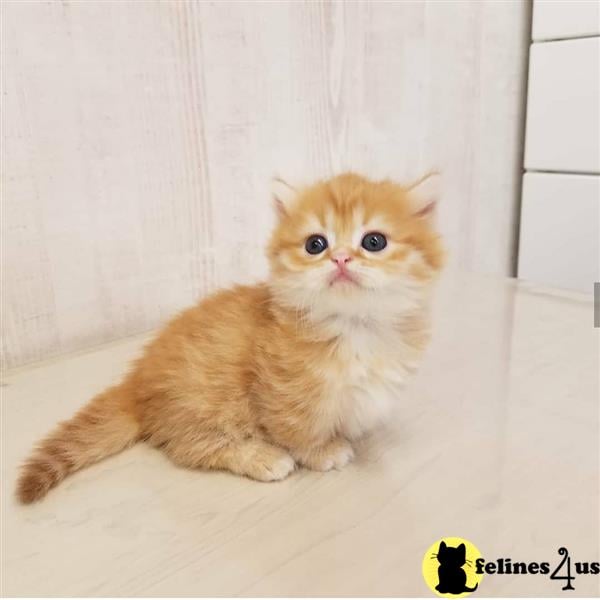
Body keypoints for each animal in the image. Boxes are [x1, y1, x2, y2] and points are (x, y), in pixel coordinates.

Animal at [16, 171, 442, 504]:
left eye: (374, 241)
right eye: (315, 244)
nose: (340, 258)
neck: (354, 327)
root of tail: (136, 381)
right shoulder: (283, 395)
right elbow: (298, 430)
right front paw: (320, 452)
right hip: (205, 400)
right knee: (191, 446)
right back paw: (263, 458)